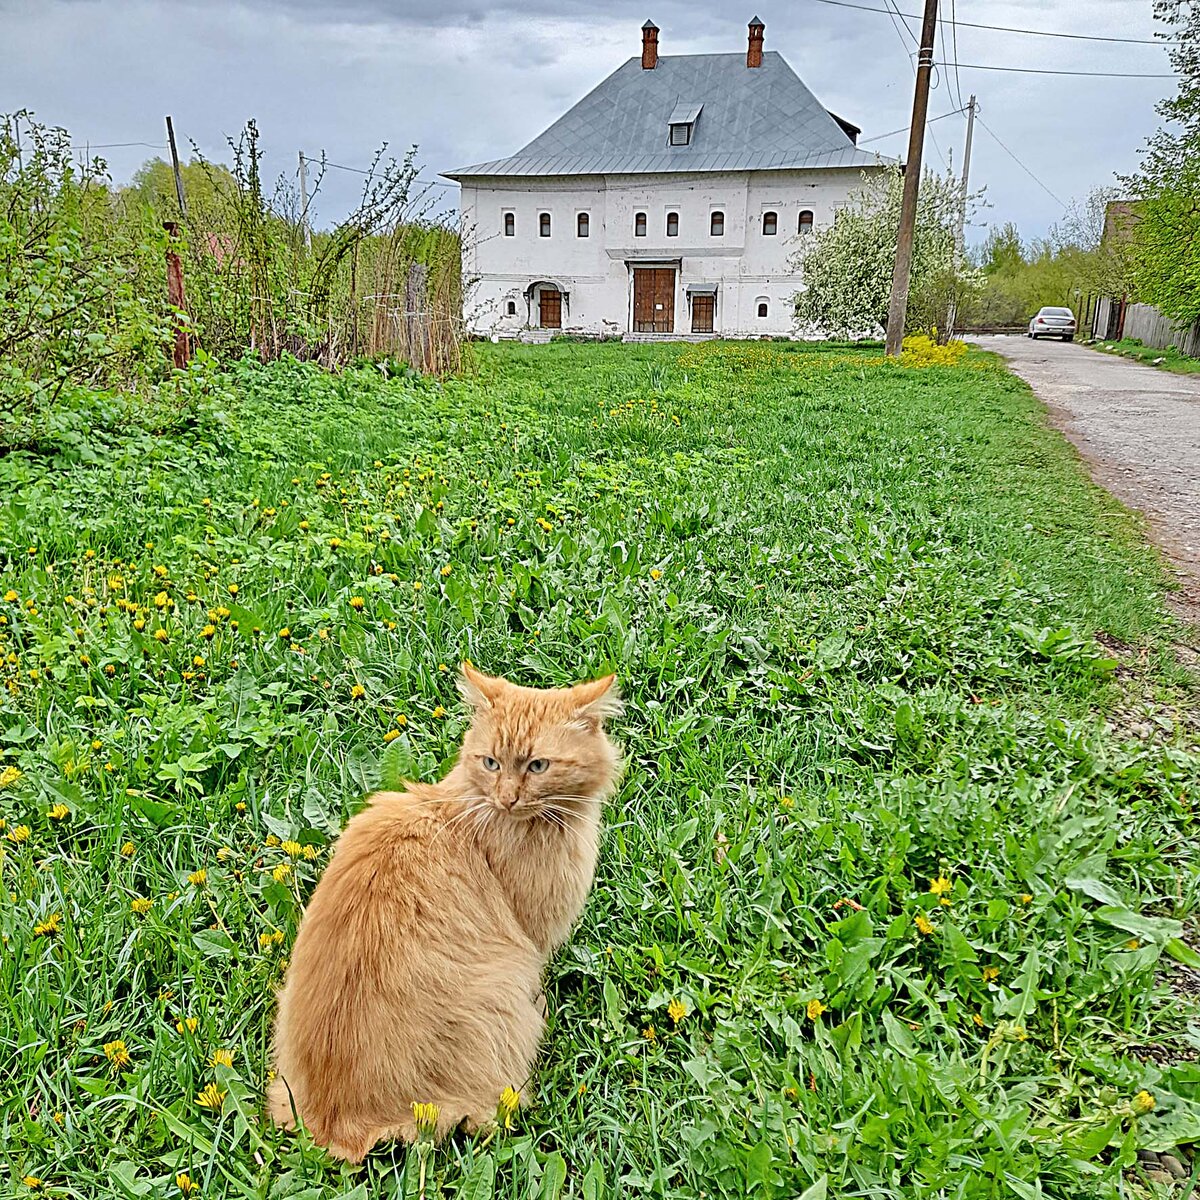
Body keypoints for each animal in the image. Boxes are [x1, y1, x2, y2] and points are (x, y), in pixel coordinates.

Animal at [265, 667, 619, 1161]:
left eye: (537, 766)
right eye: (491, 763)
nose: (507, 798)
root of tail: (334, 1125)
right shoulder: (534, 939)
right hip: (504, 995)